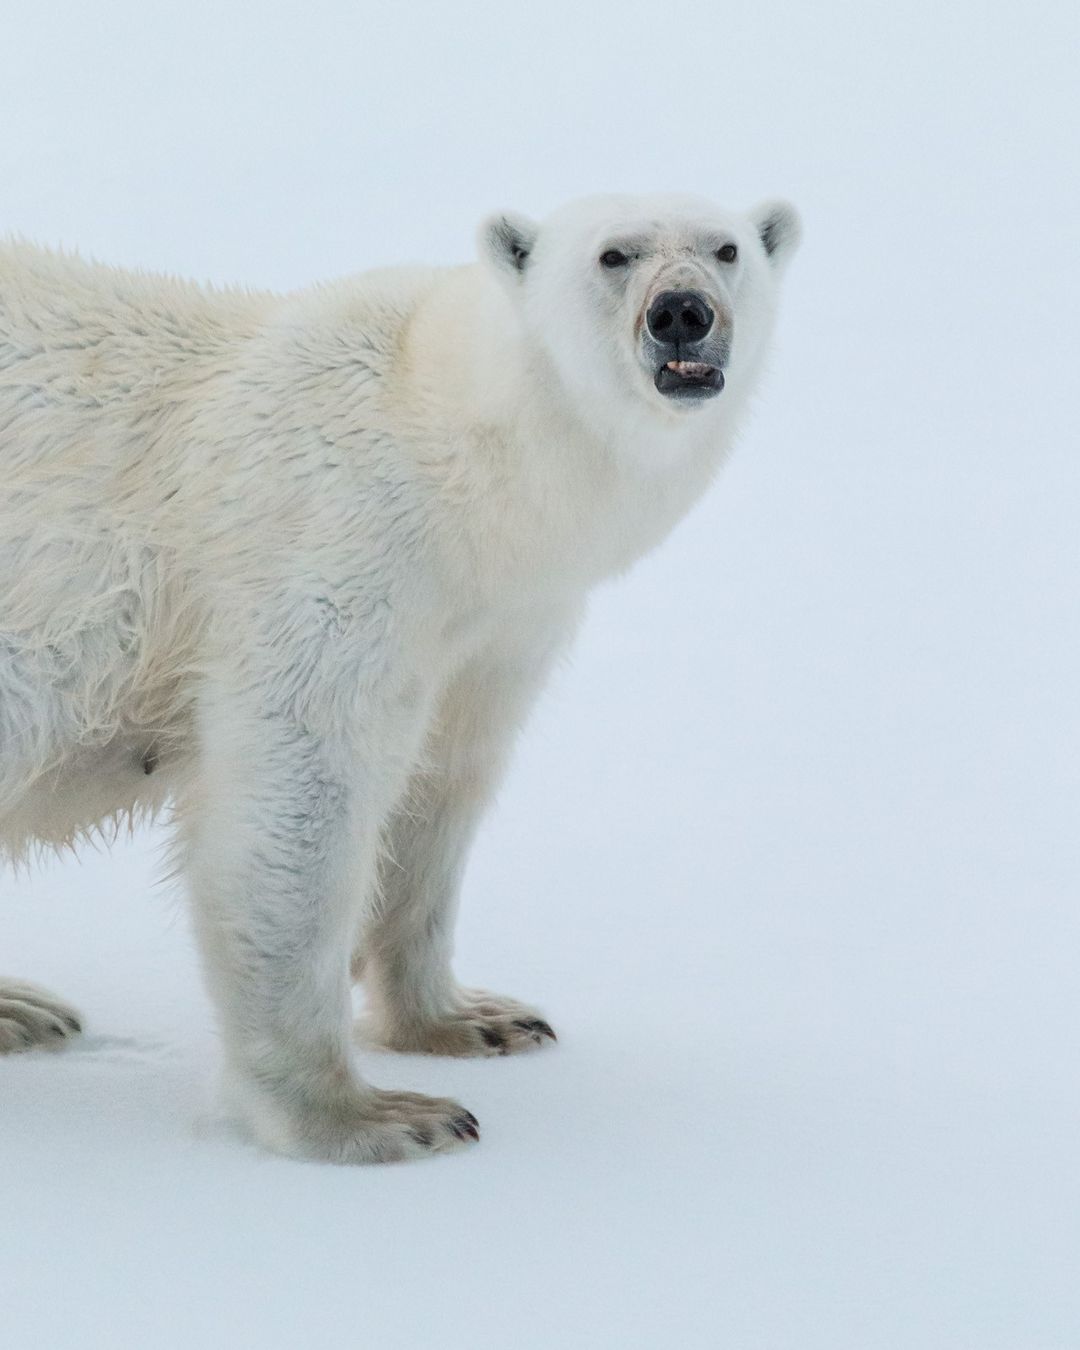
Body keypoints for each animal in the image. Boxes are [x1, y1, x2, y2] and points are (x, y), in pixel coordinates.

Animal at [0, 192, 800, 1162]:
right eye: (614, 255)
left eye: (726, 249)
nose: (681, 312)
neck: (452, 446)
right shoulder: (336, 546)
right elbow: (299, 791)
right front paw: (372, 1116)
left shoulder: (495, 625)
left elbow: (440, 787)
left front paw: (472, 1019)